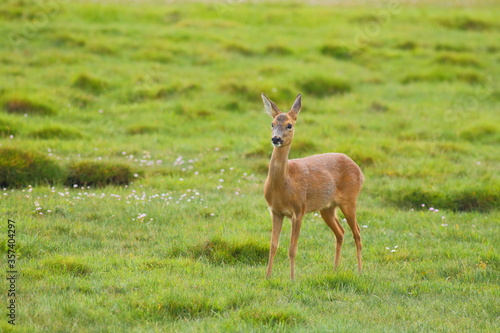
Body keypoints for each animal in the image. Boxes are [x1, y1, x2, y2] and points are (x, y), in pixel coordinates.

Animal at [262, 92, 364, 278]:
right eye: (272, 124)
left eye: (289, 125)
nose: (275, 138)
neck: (285, 185)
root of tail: (359, 170)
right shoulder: (275, 211)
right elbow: (273, 246)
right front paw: (267, 277)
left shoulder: (298, 210)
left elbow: (292, 249)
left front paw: (292, 279)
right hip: (327, 208)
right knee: (340, 232)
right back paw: (335, 270)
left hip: (350, 200)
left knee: (357, 233)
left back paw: (360, 271)